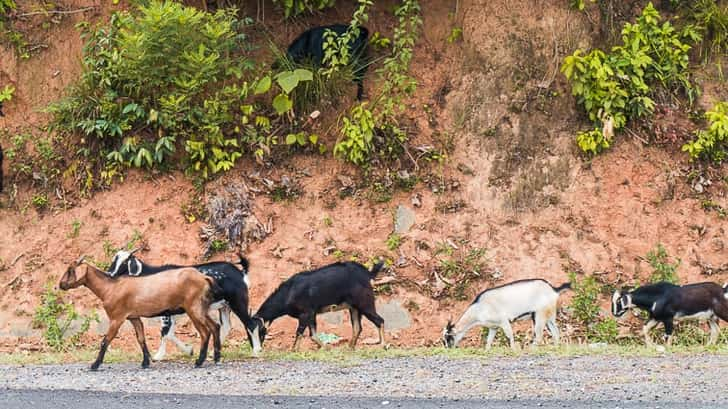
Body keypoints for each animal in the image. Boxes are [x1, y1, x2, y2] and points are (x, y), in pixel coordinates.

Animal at [59, 256, 220, 372]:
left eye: (70, 270)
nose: (61, 285)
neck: (110, 287)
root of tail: (204, 278)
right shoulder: (134, 317)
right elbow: (141, 338)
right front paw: (145, 362)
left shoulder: (117, 318)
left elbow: (106, 340)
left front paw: (95, 365)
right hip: (201, 308)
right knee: (215, 326)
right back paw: (216, 357)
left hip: (193, 308)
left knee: (205, 332)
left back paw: (199, 361)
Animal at [105, 245, 253, 356]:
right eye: (114, 259)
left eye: (125, 262)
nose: (110, 274)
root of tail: (241, 273)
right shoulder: (171, 312)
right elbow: (169, 333)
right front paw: (189, 350)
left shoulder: (166, 313)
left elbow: (165, 332)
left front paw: (159, 355)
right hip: (224, 306)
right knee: (227, 326)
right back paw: (214, 352)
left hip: (238, 302)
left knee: (250, 323)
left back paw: (255, 350)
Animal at [249, 260, 386, 350]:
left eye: (259, 331)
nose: (256, 349)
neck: (288, 293)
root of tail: (367, 273)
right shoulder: (311, 314)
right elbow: (313, 335)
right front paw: (325, 348)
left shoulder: (306, 313)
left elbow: (300, 332)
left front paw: (293, 350)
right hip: (354, 307)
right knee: (357, 327)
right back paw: (350, 347)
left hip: (365, 303)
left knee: (380, 320)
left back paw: (384, 345)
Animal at [440, 278, 572, 350]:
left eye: (449, 337)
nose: (448, 349)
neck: (479, 308)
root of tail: (553, 289)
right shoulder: (493, 327)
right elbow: (489, 341)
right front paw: (486, 351)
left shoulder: (504, 321)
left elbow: (510, 336)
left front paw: (514, 350)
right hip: (549, 315)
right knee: (556, 332)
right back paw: (556, 347)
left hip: (539, 315)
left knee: (539, 336)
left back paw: (531, 349)